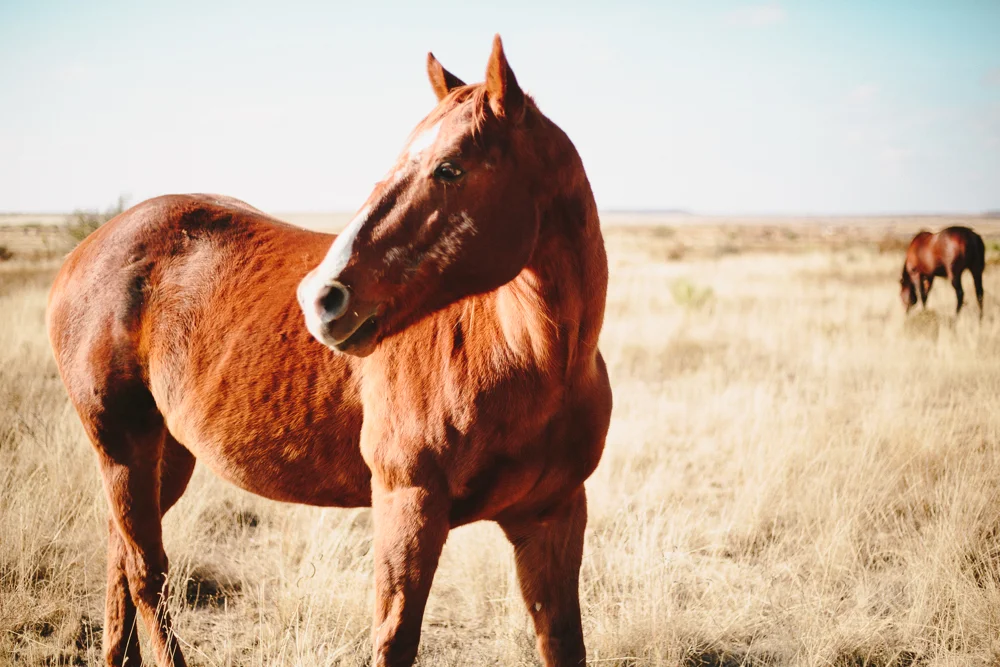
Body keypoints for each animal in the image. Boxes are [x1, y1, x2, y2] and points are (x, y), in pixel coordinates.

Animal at [46, 35, 611, 667]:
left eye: (449, 168)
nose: (321, 297)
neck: (527, 359)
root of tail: (89, 248)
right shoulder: (409, 506)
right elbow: (395, 640)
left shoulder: (552, 518)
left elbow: (562, 641)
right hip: (123, 448)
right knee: (147, 574)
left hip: (167, 456)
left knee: (122, 558)